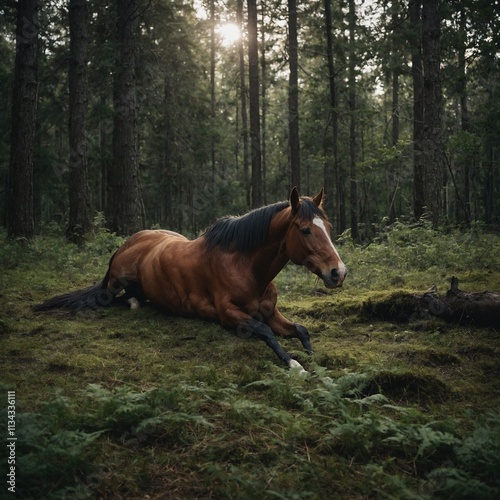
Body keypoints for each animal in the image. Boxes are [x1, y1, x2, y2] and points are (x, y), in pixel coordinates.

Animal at [36, 188, 348, 372]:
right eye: (305, 230)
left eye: (328, 226)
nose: (338, 272)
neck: (248, 268)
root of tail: (128, 243)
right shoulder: (228, 314)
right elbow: (265, 332)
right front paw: (295, 364)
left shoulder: (271, 312)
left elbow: (301, 330)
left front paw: (311, 357)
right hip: (116, 283)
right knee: (117, 298)